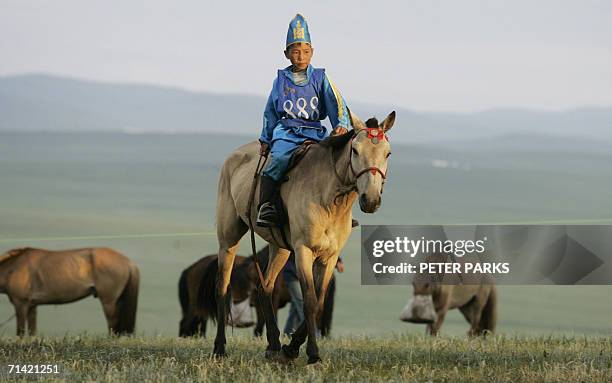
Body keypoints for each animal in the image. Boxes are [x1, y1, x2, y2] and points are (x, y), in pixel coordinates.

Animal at [0, 249, 139, 336]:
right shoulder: (32, 306)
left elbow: (20, 332)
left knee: (112, 322)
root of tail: (128, 261)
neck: (14, 267)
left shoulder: (20, 304)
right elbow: (32, 331)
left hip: (108, 301)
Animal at [214, 110, 396, 364]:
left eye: (387, 153)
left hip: (279, 247)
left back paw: (273, 346)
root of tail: (234, 156)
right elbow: (309, 300)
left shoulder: (329, 257)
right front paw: (312, 354)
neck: (330, 199)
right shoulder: (304, 252)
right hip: (228, 237)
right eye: (355, 150)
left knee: (265, 286)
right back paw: (219, 348)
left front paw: (290, 349)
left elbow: (318, 301)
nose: (370, 199)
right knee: (222, 286)